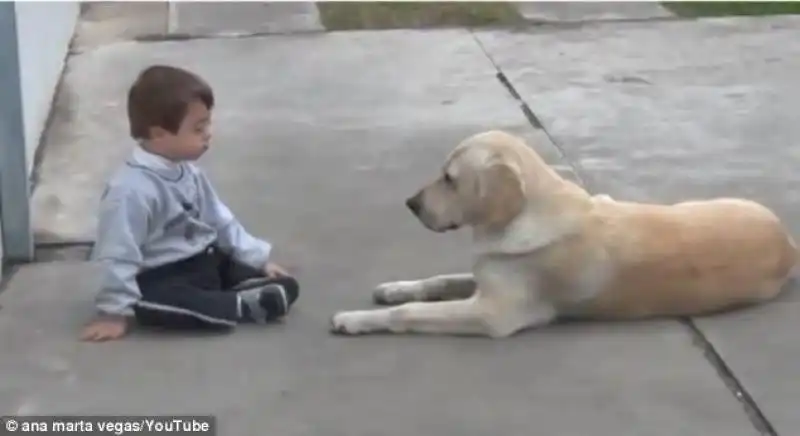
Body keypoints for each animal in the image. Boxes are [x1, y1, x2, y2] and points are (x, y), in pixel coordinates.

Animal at [328, 129, 796, 338]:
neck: (520, 216)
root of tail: (789, 244)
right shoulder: (485, 274)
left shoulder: (492, 314)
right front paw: (394, 288)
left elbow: (409, 314)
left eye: (450, 179)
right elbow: (437, 281)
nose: (410, 204)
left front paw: (355, 319)